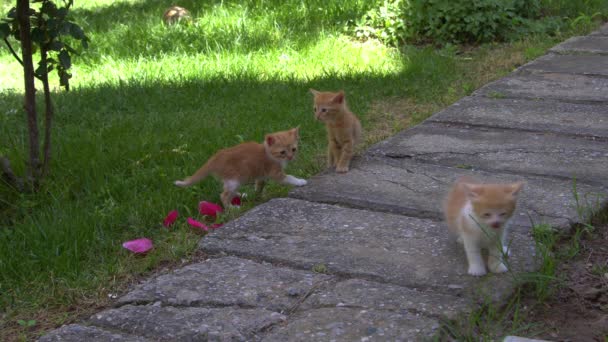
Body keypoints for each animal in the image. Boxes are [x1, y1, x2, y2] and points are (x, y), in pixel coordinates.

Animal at [175, 127, 308, 207]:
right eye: (282, 152)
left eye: (293, 149)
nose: (291, 157)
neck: (267, 152)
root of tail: (215, 157)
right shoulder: (275, 172)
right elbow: (289, 177)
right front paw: (299, 181)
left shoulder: (261, 175)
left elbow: (259, 186)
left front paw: (258, 196)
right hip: (234, 179)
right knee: (223, 195)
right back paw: (232, 208)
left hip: (233, 180)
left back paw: (242, 195)